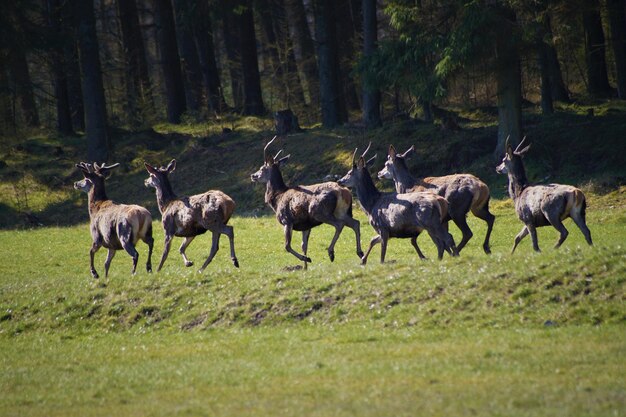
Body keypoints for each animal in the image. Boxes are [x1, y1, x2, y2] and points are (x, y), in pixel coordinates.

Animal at [250, 135, 364, 268]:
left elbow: (287, 246)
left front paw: (307, 259)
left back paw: (331, 252)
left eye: (262, 168)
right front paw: (305, 268)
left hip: (319, 211)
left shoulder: (287, 220)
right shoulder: (306, 225)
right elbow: (304, 245)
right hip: (342, 212)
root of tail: (345, 192)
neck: (277, 199)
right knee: (356, 223)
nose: (253, 175)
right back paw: (360, 253)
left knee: (339, 224)